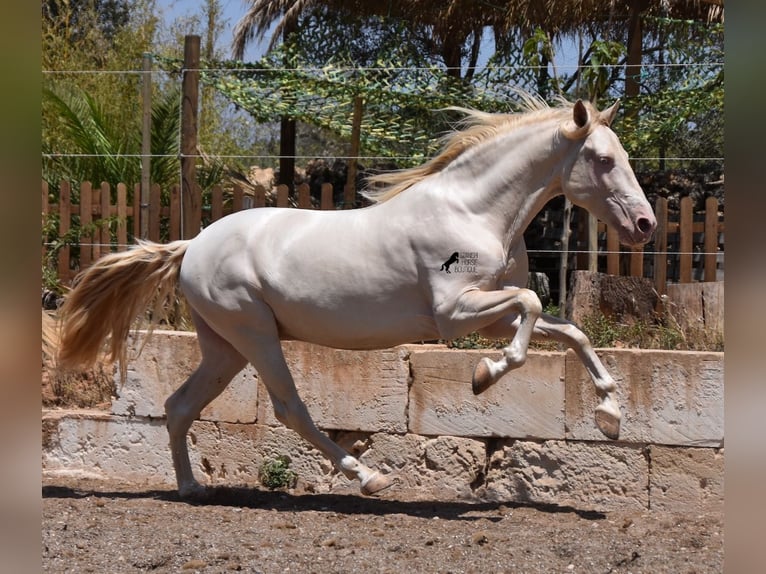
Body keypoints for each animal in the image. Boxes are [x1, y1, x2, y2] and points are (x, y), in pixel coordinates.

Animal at [60, 98, 660, 500]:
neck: (474, 211)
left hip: (224, 347)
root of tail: (191, 247)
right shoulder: (455, 314)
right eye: (603, 159)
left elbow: (570, 330)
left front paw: (609, 416)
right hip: (254, 335)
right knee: (289, 408)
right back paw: (369, 476)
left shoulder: (488, 313)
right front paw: (484, 376)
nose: (645, 224)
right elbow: (533, 310)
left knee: (179, 406)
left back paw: (190, 488)